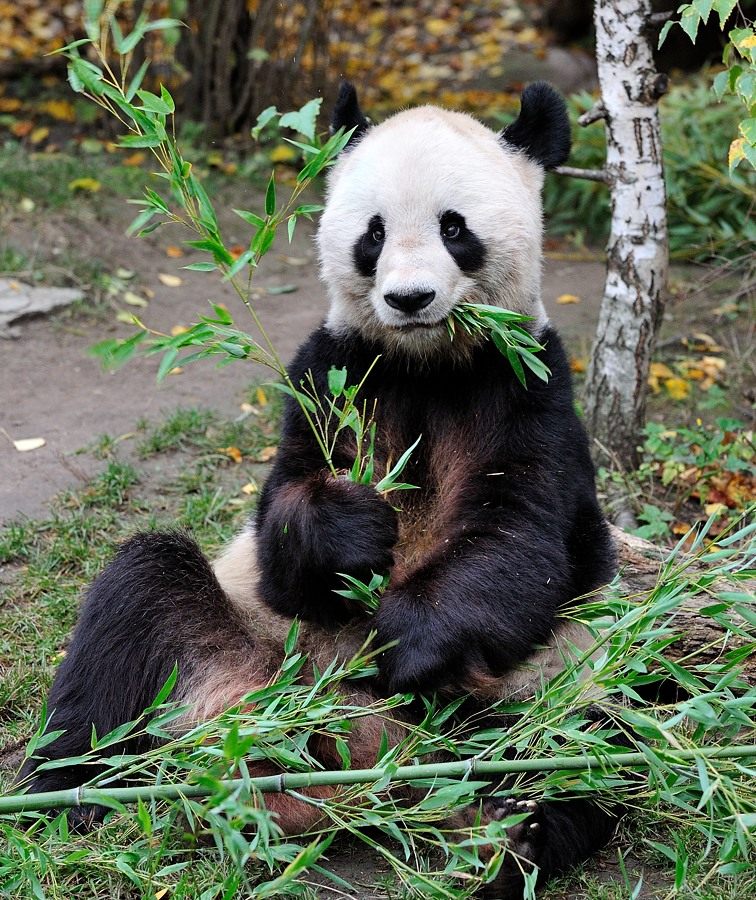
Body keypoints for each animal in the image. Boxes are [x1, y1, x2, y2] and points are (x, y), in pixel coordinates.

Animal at [20, 81, 618, 897]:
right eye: (373, 233)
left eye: (453, 227)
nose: (409, 298)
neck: (428, 363)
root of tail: (351, 764)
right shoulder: (331, 373)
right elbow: (285, 523)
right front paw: (349, 530)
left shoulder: (530, 382)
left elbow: (520, 536)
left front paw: (403, 641)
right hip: (244, 652)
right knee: (137, 598)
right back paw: (64, 795)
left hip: (538, 690)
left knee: (589, 746)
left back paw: (513, 837)